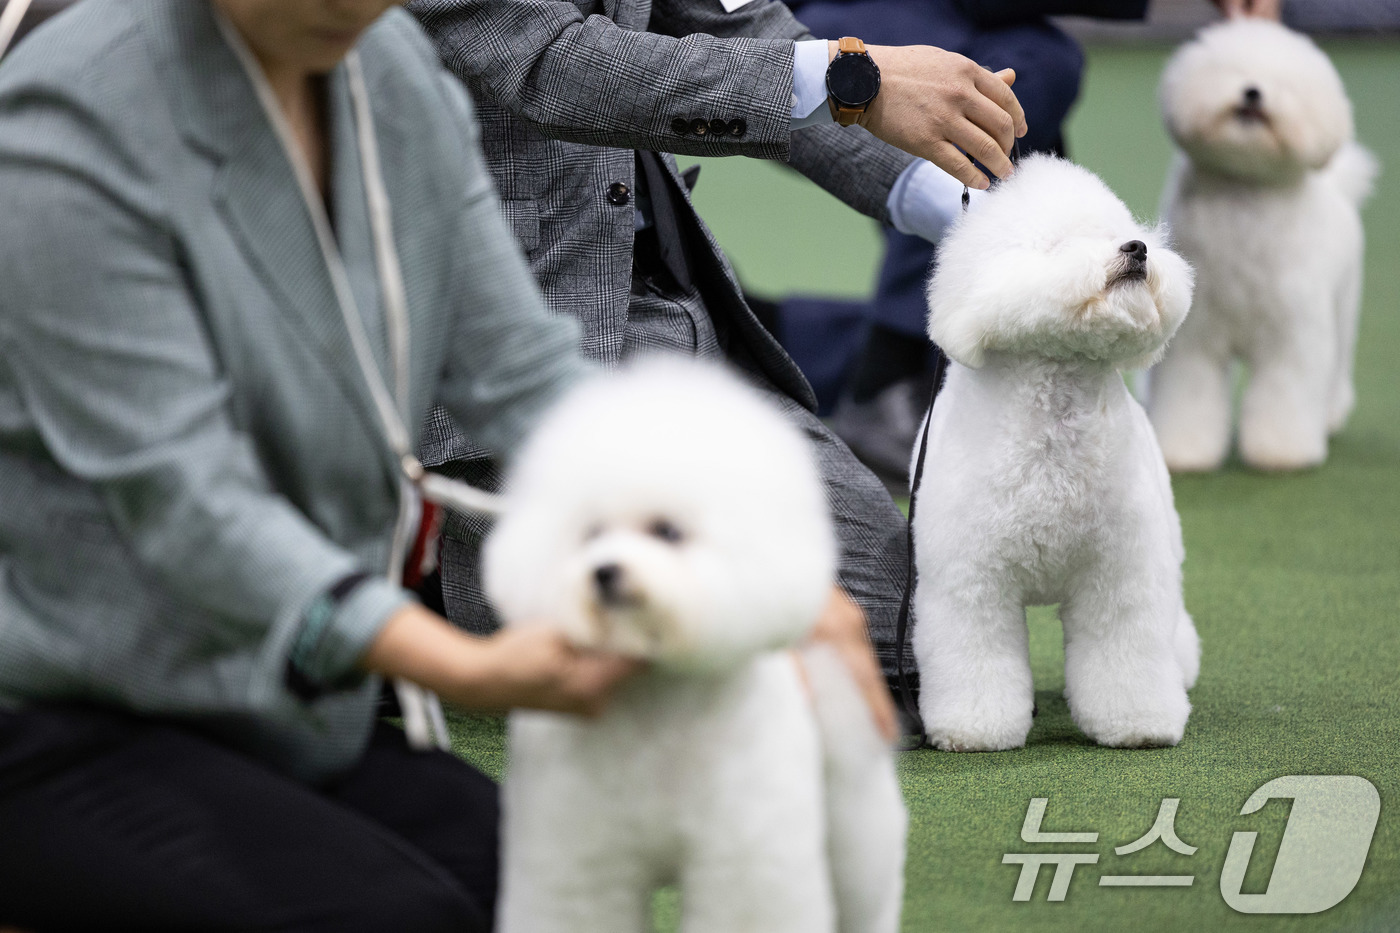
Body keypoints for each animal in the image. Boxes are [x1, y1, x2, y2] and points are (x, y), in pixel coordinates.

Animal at [481, 357, 907, 930]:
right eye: (590, 533)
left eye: (668, 531)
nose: (605, 573)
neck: (656, 707)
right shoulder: (580, 855)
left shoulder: (744, 852)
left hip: (849, 804)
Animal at [912, 152, 1198, 750]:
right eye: (1061, 244)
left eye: (1116, 231)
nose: (1137, 248)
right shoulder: (972, 582)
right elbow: (976, 655)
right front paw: (976, 729)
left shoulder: (1120, 572)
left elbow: (1126, 648)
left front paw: (1138, 724)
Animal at [1148, 19, 1377, 473]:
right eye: (1231, 69)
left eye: (1285, 84)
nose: (1253, 92)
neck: (1245, 195)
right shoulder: (1195, 337)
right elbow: (1188, 394)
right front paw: (1184, 449)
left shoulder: (1292, 335)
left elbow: (1285, 393)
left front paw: (1281, 451)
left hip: (1342, 308)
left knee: (1336, 368)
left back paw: (1330, 415)